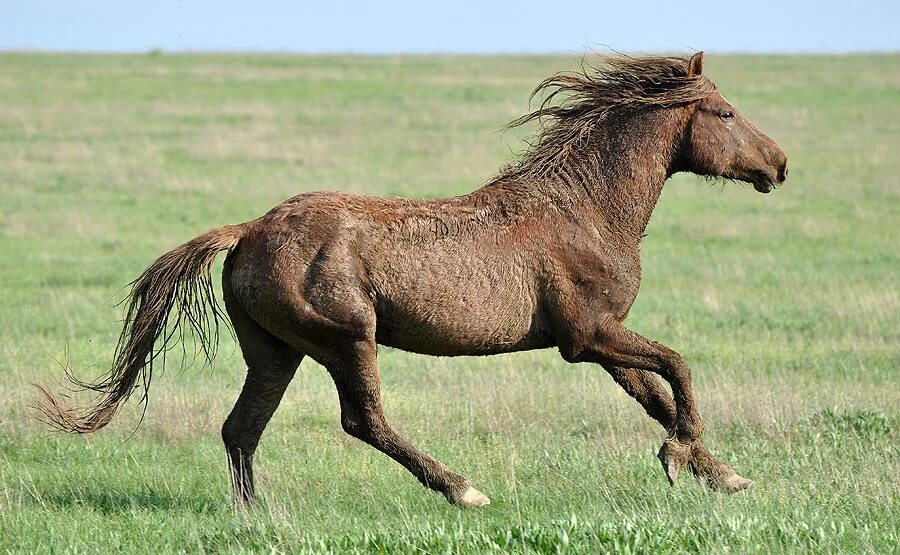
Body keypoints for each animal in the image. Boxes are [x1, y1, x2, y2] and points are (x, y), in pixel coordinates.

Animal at [37, 52, 788, 508]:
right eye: (722, 111)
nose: (779, 164)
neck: (585, 209)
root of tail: (246, 232)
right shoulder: (587, 336)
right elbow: (679, 368)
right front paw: (682, 458)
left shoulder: (601, 340)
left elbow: (655, 395)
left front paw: (717, 471)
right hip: (346, 337)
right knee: (361, 419)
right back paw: (462, 489)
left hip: (275, 351)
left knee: (240, 428)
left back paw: (257, 516)